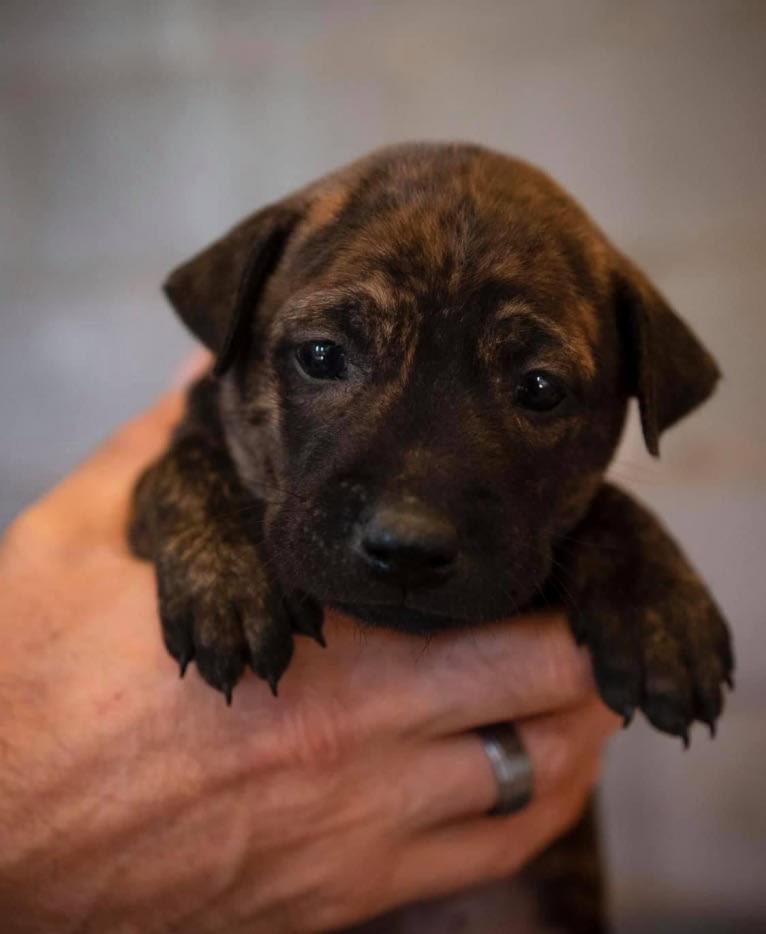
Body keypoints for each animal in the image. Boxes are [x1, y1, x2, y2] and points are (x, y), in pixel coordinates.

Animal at [129, 144, 736, 934]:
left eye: (540, 390)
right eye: (321, 356)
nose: (408, 545)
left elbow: (607, 503)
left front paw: (660, 610)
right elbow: (183, 466)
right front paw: (227, 579)